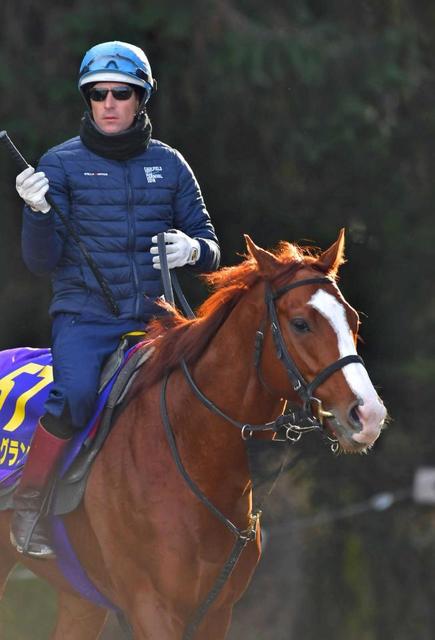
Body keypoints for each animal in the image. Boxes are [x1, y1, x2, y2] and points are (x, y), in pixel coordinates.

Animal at [0, 230, 386, 639]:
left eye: (353, 320)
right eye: (300, 324)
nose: (368, 414)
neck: (192, 449)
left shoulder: (216, 613)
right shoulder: (152, 609)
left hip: (82, 599)